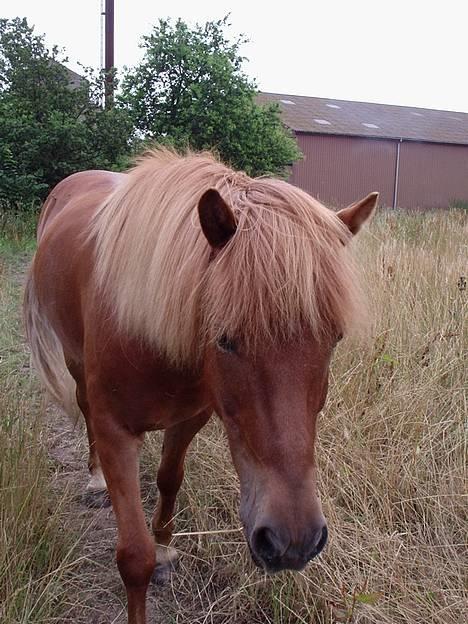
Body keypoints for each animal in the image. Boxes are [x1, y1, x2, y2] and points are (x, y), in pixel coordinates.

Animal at [23, 149, 378, 620]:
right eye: (224, 339)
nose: (293, 540)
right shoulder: (116, 431)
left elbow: (169, 479)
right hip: (75, 361)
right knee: (82, 406)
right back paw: (95, 480)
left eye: (335, 337)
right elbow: (133, 557)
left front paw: (164, 547)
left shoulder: (190, 417)